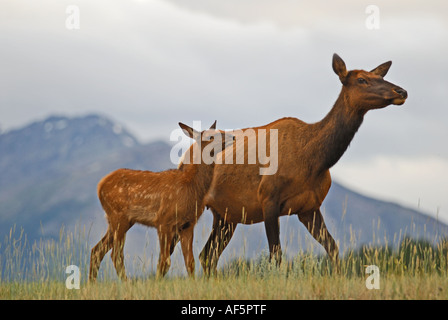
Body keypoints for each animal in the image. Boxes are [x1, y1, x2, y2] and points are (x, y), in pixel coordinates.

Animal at [88, 121, 234, 282]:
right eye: (210, 136)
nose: (233, 137)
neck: (190, 186)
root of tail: (100, 186)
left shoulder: (187, 224)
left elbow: (190, 261)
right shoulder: (163, 221)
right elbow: (164, 261)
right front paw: (157, 282)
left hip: (119, 220)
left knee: (96, 250)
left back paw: (92, 284)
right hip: (118, 216)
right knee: (115, 255)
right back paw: (127, 283)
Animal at [201, 53, 408, 272]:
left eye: (380, 76)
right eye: (361, 79)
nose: (401, 91)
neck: (313, 162)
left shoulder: (310, 208)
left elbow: (333, 248)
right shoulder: (268, 198)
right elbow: (276, 256)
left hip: (225, 216)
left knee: (207, 256)